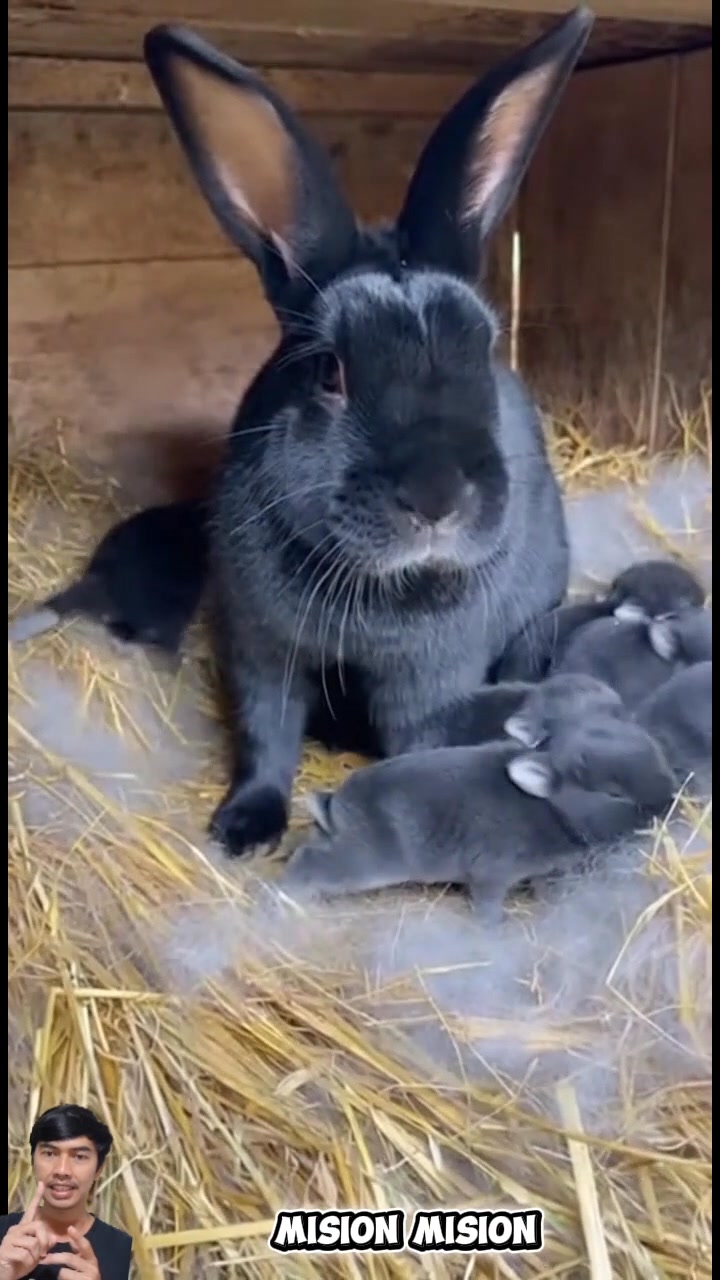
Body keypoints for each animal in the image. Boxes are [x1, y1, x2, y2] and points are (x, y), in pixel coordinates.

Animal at [143, 10, 595, 857]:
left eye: (485, 349)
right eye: (330, 371)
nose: (437, 498)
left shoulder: (429, 677)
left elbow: (411, 746)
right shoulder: (262, 650)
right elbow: (266, 737)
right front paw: (241, 828)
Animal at [280, 713, 676, 920]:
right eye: (613, 793)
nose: (668, 800)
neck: (552, 808)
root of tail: (336, 806)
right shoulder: (493, 873)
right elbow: (488, 901)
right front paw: (496, 925)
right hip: (364, 861)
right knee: (311, 862)